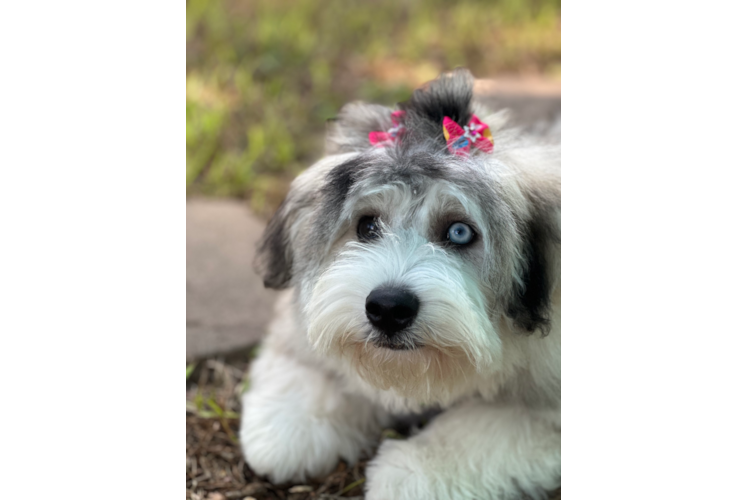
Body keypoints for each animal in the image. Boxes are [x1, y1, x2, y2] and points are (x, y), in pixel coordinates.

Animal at [240, 67, 560, 500]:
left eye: (460, 232)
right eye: (367, 225)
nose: (388, 308)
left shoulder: (551, 410)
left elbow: (485, 430)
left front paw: (409, 472)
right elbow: (306, 363)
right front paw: (290, 425)